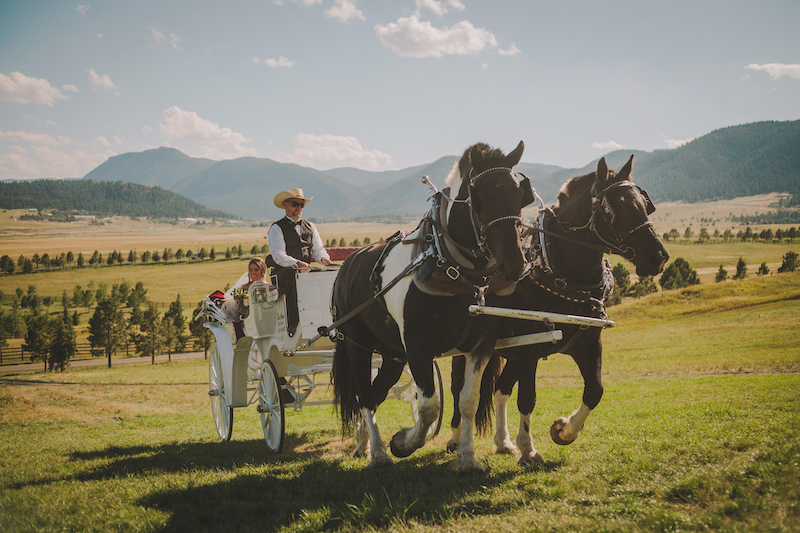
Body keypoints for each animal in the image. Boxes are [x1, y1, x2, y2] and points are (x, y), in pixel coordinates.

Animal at [331, 141, 533, 474]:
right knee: (365, 396)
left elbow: (468, 401)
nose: (515, 263)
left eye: (520, 196)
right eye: (480, 198)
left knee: (374, 393)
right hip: (357, 345)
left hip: (392, 354)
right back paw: (378, 452)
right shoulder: (418, 347)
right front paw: (403, 443)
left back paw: (364, 444)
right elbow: (429, 407)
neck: (452, 267)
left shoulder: (480, 346)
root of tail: (348, 263)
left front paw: (467, 457)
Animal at [447, 155, 670, 465]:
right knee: (460, 390)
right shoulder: (529, 352)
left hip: (511, 352)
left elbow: (595, 390)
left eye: (644, 204)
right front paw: (529, 449)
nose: (658, 257)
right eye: (617, 210)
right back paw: (456, 439)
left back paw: (503, 442)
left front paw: (564, 431)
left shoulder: (587, 344)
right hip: (471, 349)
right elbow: (527, 398)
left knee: (501, 388)